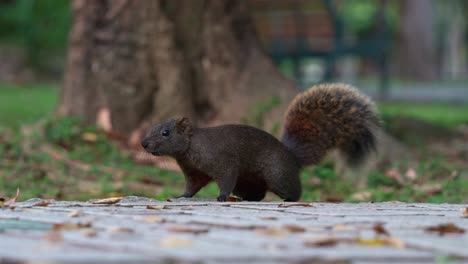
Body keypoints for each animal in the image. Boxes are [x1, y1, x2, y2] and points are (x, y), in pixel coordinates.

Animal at [140, 83, 380, 201]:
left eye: (165, 133)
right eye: (151, 128)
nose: (143, 144)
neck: (191, 148)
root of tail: (291, 156)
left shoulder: (223, 160)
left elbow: (225, 178)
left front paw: (222, 197)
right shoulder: (194, 172)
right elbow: (193, 185)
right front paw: (182, 195)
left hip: (277, 175)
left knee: (292, 190)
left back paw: (288, 200)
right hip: (248, 181)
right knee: (259, 193)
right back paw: (247, 199)